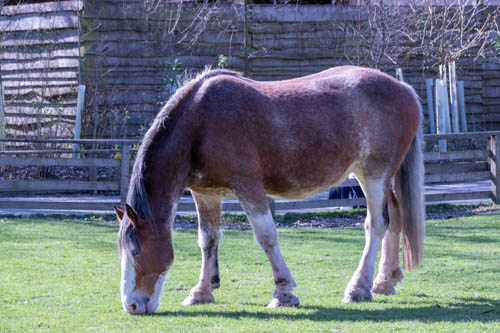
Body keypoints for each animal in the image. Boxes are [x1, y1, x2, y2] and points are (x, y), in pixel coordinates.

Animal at [114, 65, 426, 314]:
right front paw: (201, 292)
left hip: (374, 174)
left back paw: (358, 288)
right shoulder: (206, 193)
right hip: (374, 176)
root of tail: (405, 89)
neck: (201, 122)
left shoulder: (248, 185)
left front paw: (283, 292)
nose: (132, 305)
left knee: (376, 224)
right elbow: (208, 240)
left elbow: (266, 237)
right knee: (394, 216)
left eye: (136, 250)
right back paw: (385, 281)